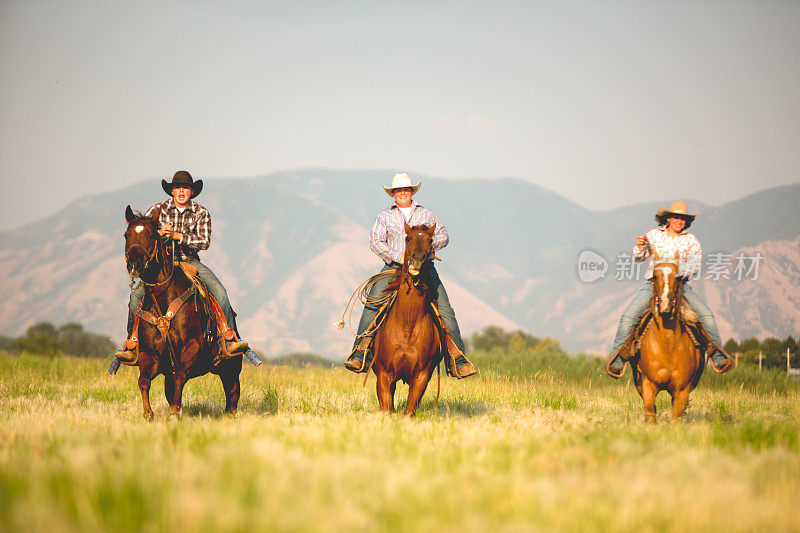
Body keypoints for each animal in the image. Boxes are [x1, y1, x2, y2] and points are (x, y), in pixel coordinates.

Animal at [122, 206, 241, 418]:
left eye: (152, 235)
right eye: (127, 234)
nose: (135, 264)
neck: (164, 299)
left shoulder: (192, 347)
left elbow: (180, 377)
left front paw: (175, 414)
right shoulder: (148, 353)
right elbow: (144, 381)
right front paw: (149, 414)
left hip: (231, 365)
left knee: (232, 391)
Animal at [370, 220, 440, 416]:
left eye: (430, 240)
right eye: (408, 238)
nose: (417, 259)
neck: (407, 324)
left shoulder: (421, 376)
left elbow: (410, 411)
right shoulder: (384, 375)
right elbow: (386, 408)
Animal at [636, 251, 704, 422]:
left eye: (678, 277)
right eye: (654, 276)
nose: (665, 305)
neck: (667, 346)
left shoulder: (682, 389)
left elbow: (676, 417)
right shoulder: (647, 384)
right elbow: (650, 413)